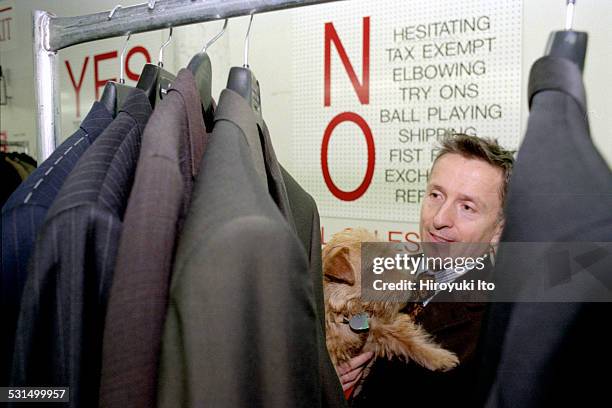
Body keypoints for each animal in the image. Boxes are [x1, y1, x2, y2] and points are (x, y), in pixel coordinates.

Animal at [322, 230, 456, 386]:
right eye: (376, 266)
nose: (413, 285)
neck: (348, 314)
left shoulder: (382, 325)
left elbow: (412, 341)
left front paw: (440, 358)